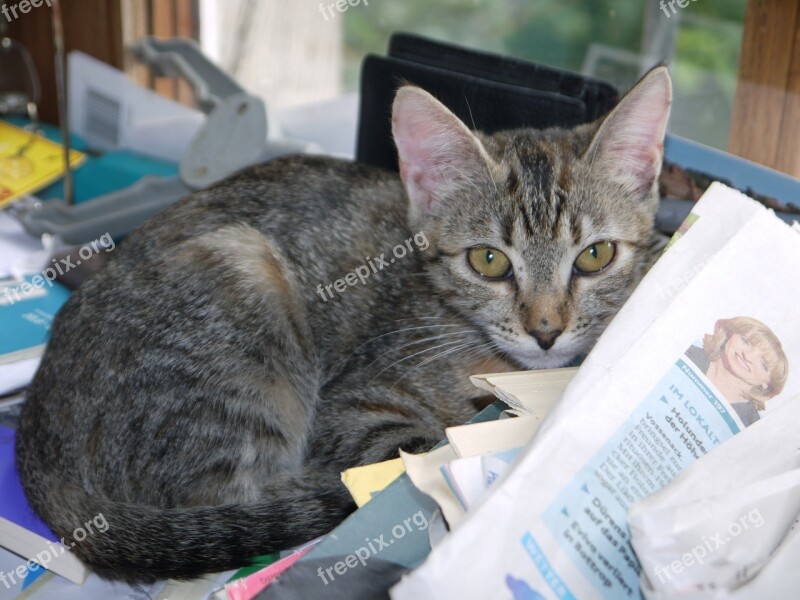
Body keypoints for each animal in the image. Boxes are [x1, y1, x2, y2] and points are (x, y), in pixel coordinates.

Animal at [15, 65, 672, 580]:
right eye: (488, 261)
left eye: (595, 256)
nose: (545, 329)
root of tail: (37, 427)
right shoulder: (352, 412)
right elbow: (421, 444)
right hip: (238, 287)